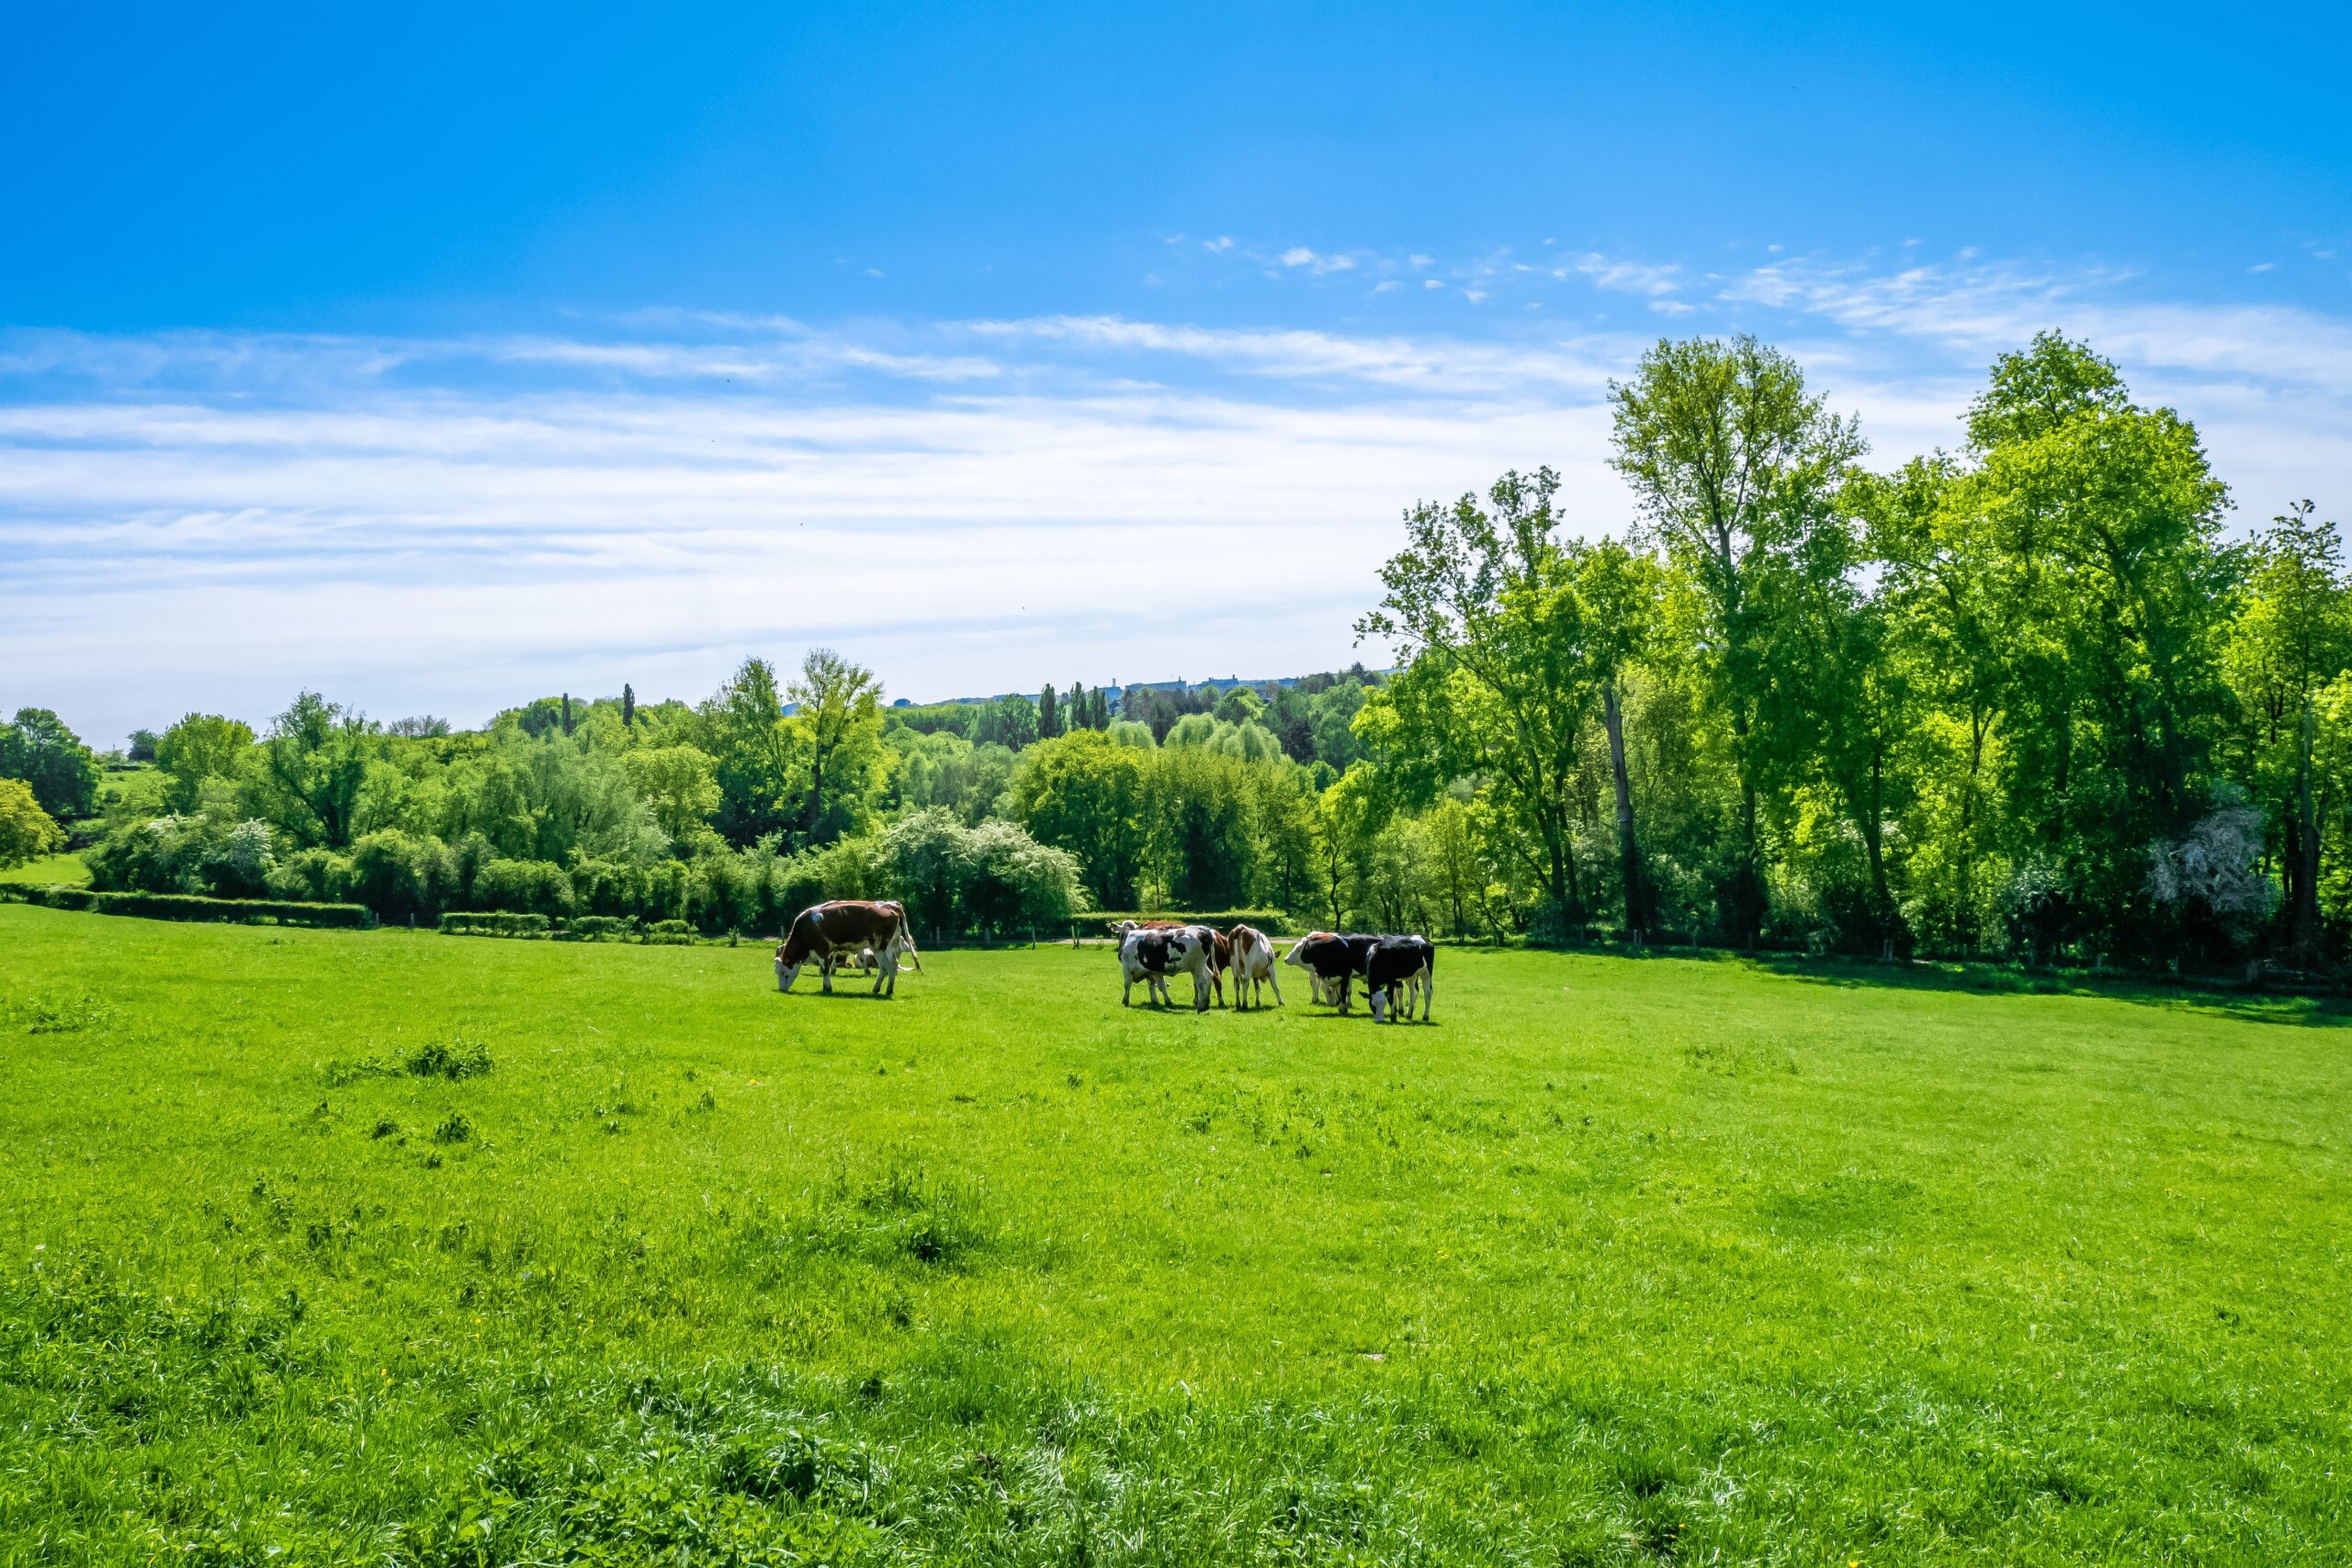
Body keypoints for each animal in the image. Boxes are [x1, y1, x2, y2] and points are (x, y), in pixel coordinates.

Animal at [771, 902, 917, 1001]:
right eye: (776, 972)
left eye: (784, 973)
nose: (782, 990)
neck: (805, 928)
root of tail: (892, 906)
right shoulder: (829, 952)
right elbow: (827, 968)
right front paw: (825, 986)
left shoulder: (822, 950)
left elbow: (825, 970)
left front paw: (827, 988)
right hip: (887, 946)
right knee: (890, 966)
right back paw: (883, 989)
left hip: (880, 947)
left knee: (888, 967)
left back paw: (883, 989)